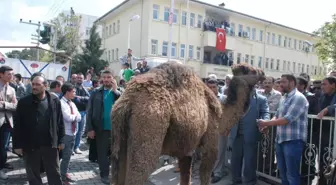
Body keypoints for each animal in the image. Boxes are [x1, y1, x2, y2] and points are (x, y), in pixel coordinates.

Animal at [111, 61, 264, 184]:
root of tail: (127, 102)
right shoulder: (211, 141)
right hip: (149, 127)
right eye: (250, 70)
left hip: (121, 141)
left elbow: (186, 175)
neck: (221, 113)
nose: (262, 73)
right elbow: (204, 175)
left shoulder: (187, 149)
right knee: (138, 173)